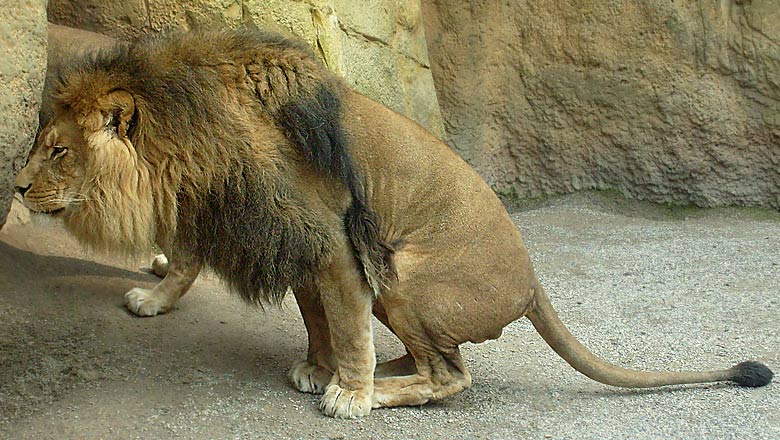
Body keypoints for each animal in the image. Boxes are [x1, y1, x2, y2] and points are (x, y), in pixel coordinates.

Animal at [15, 29, 772, 418]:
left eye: (57, 150)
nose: (17, 187)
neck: (196, 142)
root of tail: (532, 286)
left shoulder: (330, 243)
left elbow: (344, 325)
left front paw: (346, 392)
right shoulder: (286, 238)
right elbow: (316, 318)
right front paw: (317, 368)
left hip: (404, 274)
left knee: (453, 377)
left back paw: (381, 388)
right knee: (442, 359)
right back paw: (395, 365)